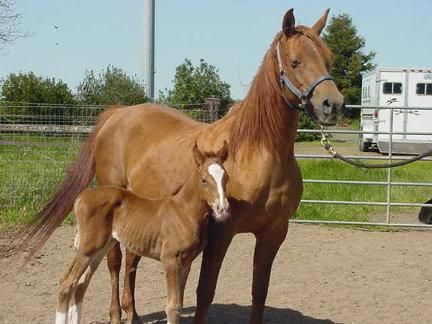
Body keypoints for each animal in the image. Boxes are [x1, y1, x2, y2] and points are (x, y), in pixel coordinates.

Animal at [56, 142, 231, 324]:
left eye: (226, 178)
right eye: (204, 180)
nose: (223, 209)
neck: (184, 212)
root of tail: (80, 198)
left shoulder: (185, 263)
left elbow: (179, 305)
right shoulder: (170, 260)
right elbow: (173, 307)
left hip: (101, 248)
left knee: (81, 284)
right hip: (88, 248)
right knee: (66, 283)